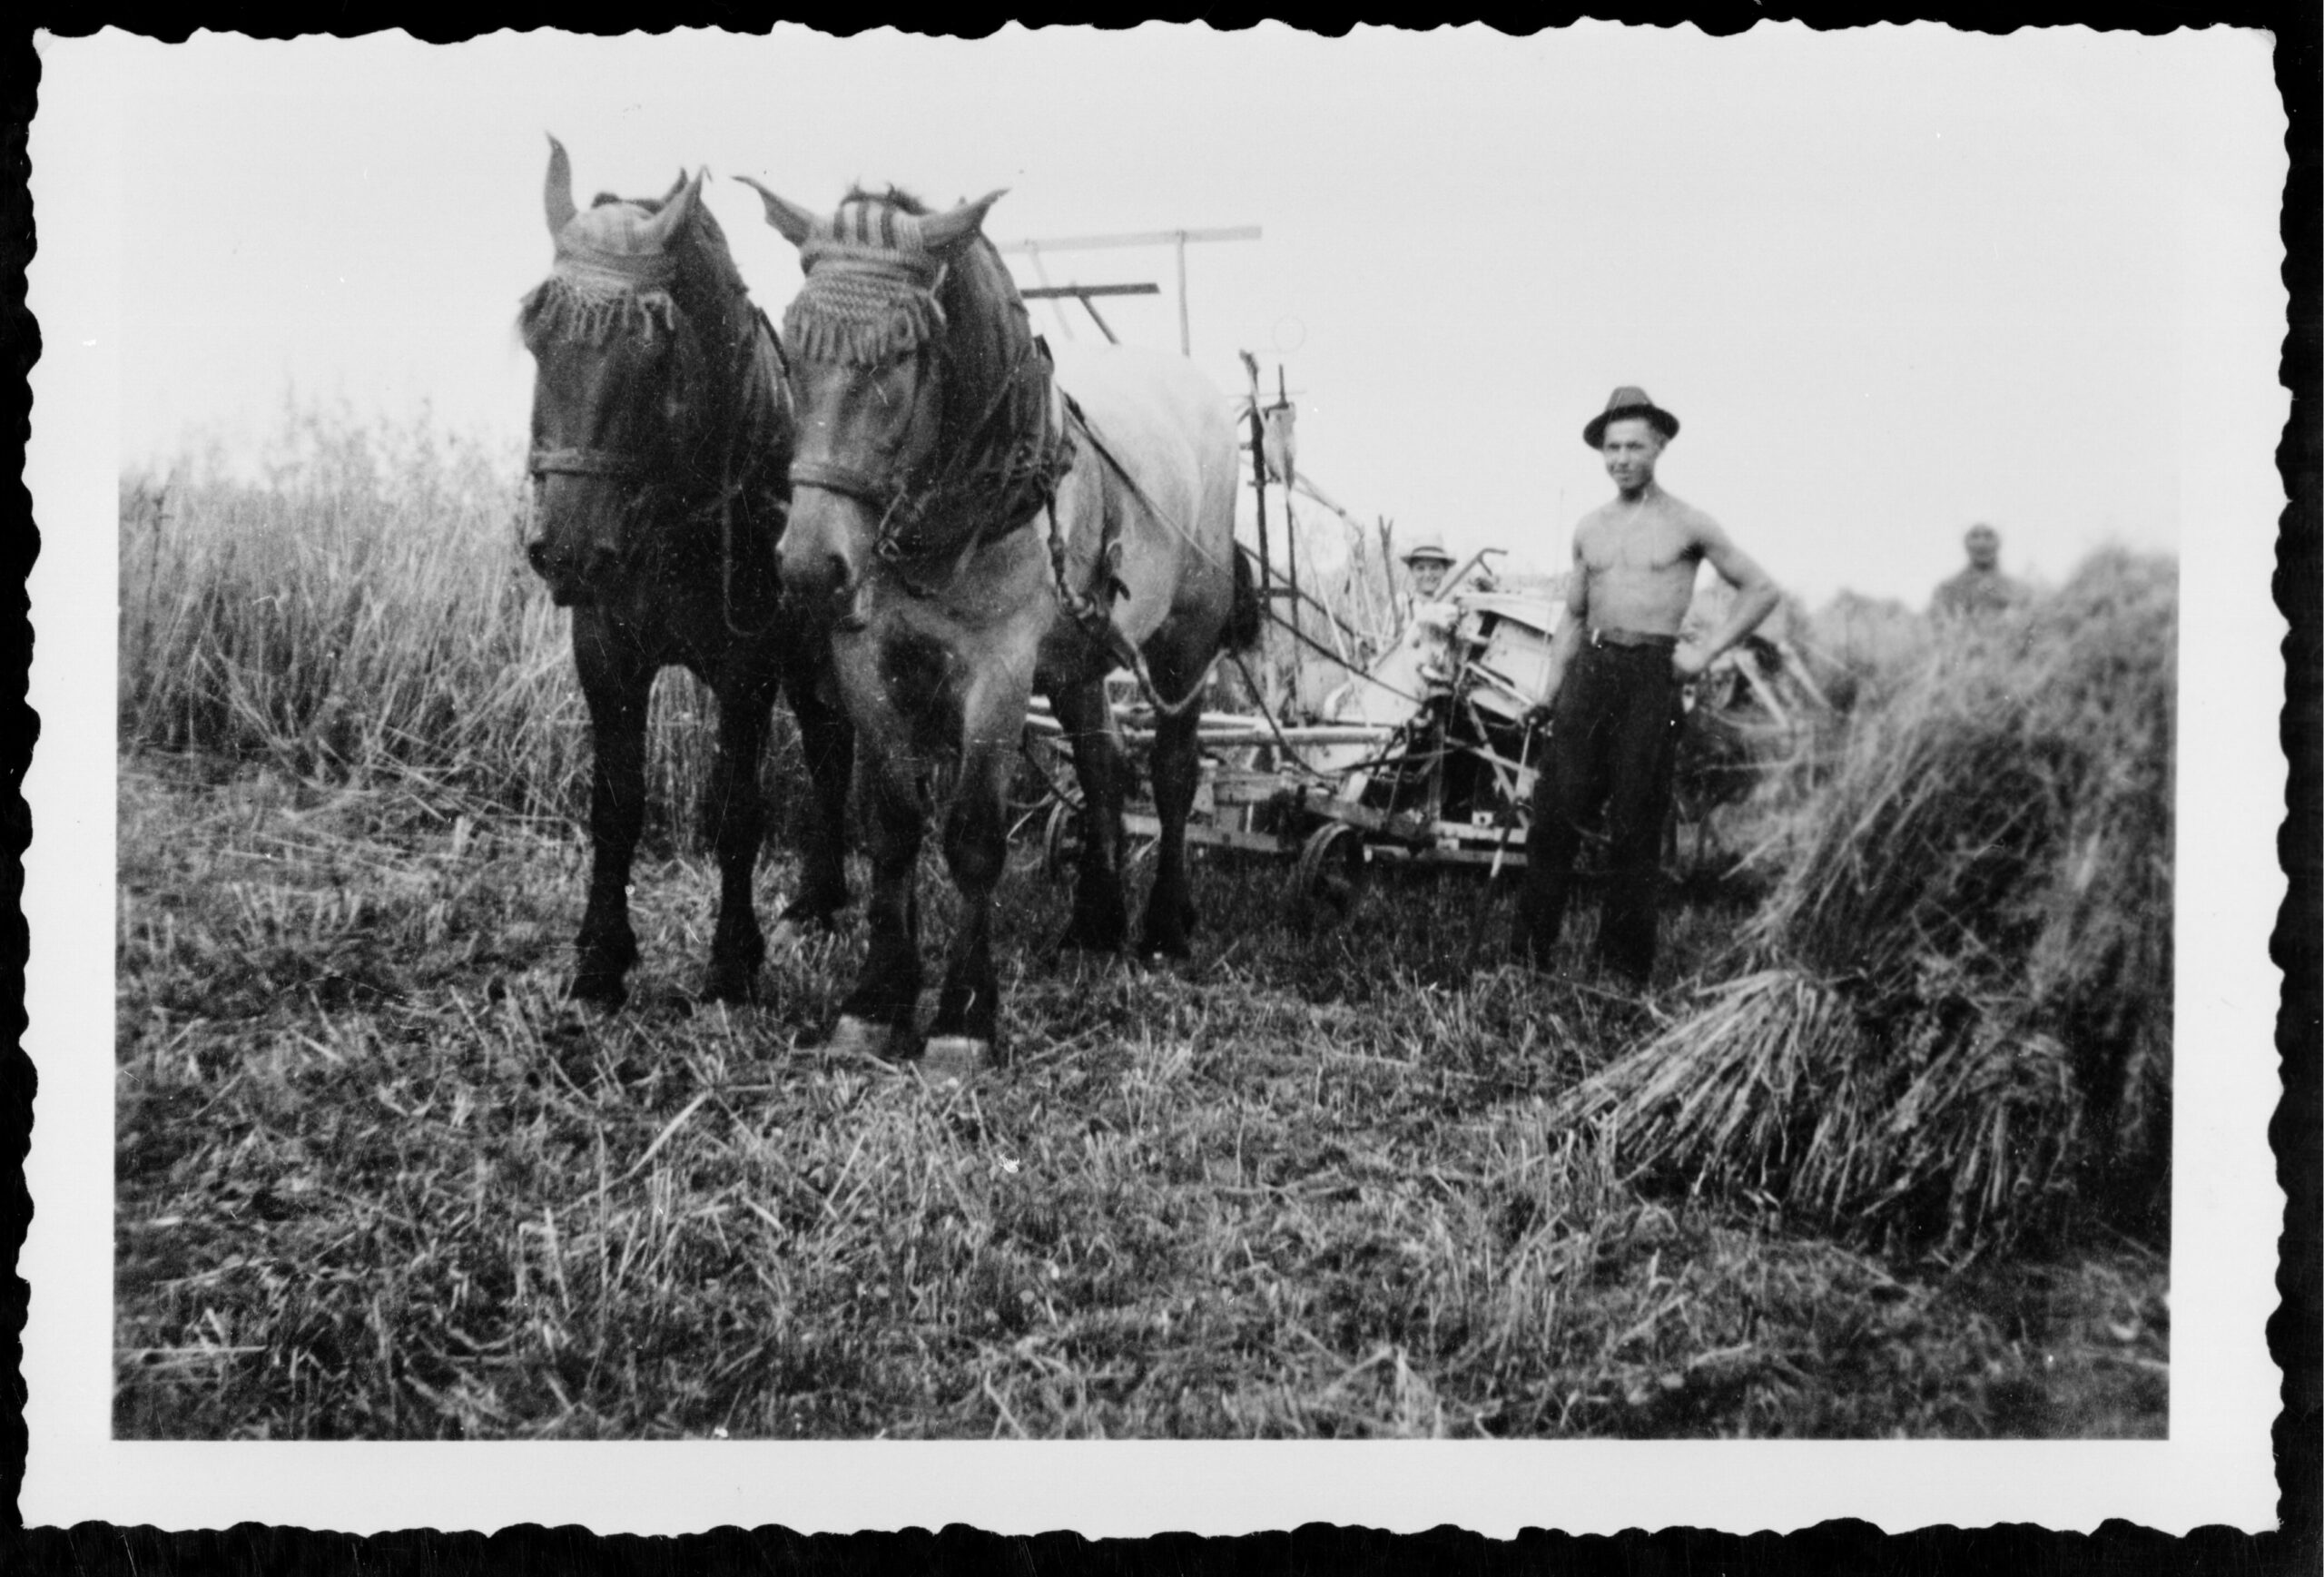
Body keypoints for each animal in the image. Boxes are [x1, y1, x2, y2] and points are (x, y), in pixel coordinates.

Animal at [517, 144, 855, 1012]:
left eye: (656, 344)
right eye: (535, 330)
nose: (569, 550)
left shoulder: (747, 666)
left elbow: (735, 808)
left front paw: (733, 962)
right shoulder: (606, 654)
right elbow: (615, 803)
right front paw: (600, 959)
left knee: (837, 748)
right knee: (828, 744)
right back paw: (819, 897)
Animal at [739, 182, 1255, 1072]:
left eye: (904, 355)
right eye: (795, 346)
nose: (809, 567)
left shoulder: (1001, 668)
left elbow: (976, 835)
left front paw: (964, 1016)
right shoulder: (866, 658)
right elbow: (893, 825)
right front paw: (876, 999)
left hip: (1187, 641)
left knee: (1173, 774)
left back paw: (1161, 924)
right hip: (1080, 655)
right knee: (1103, 766)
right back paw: (1094, 923)